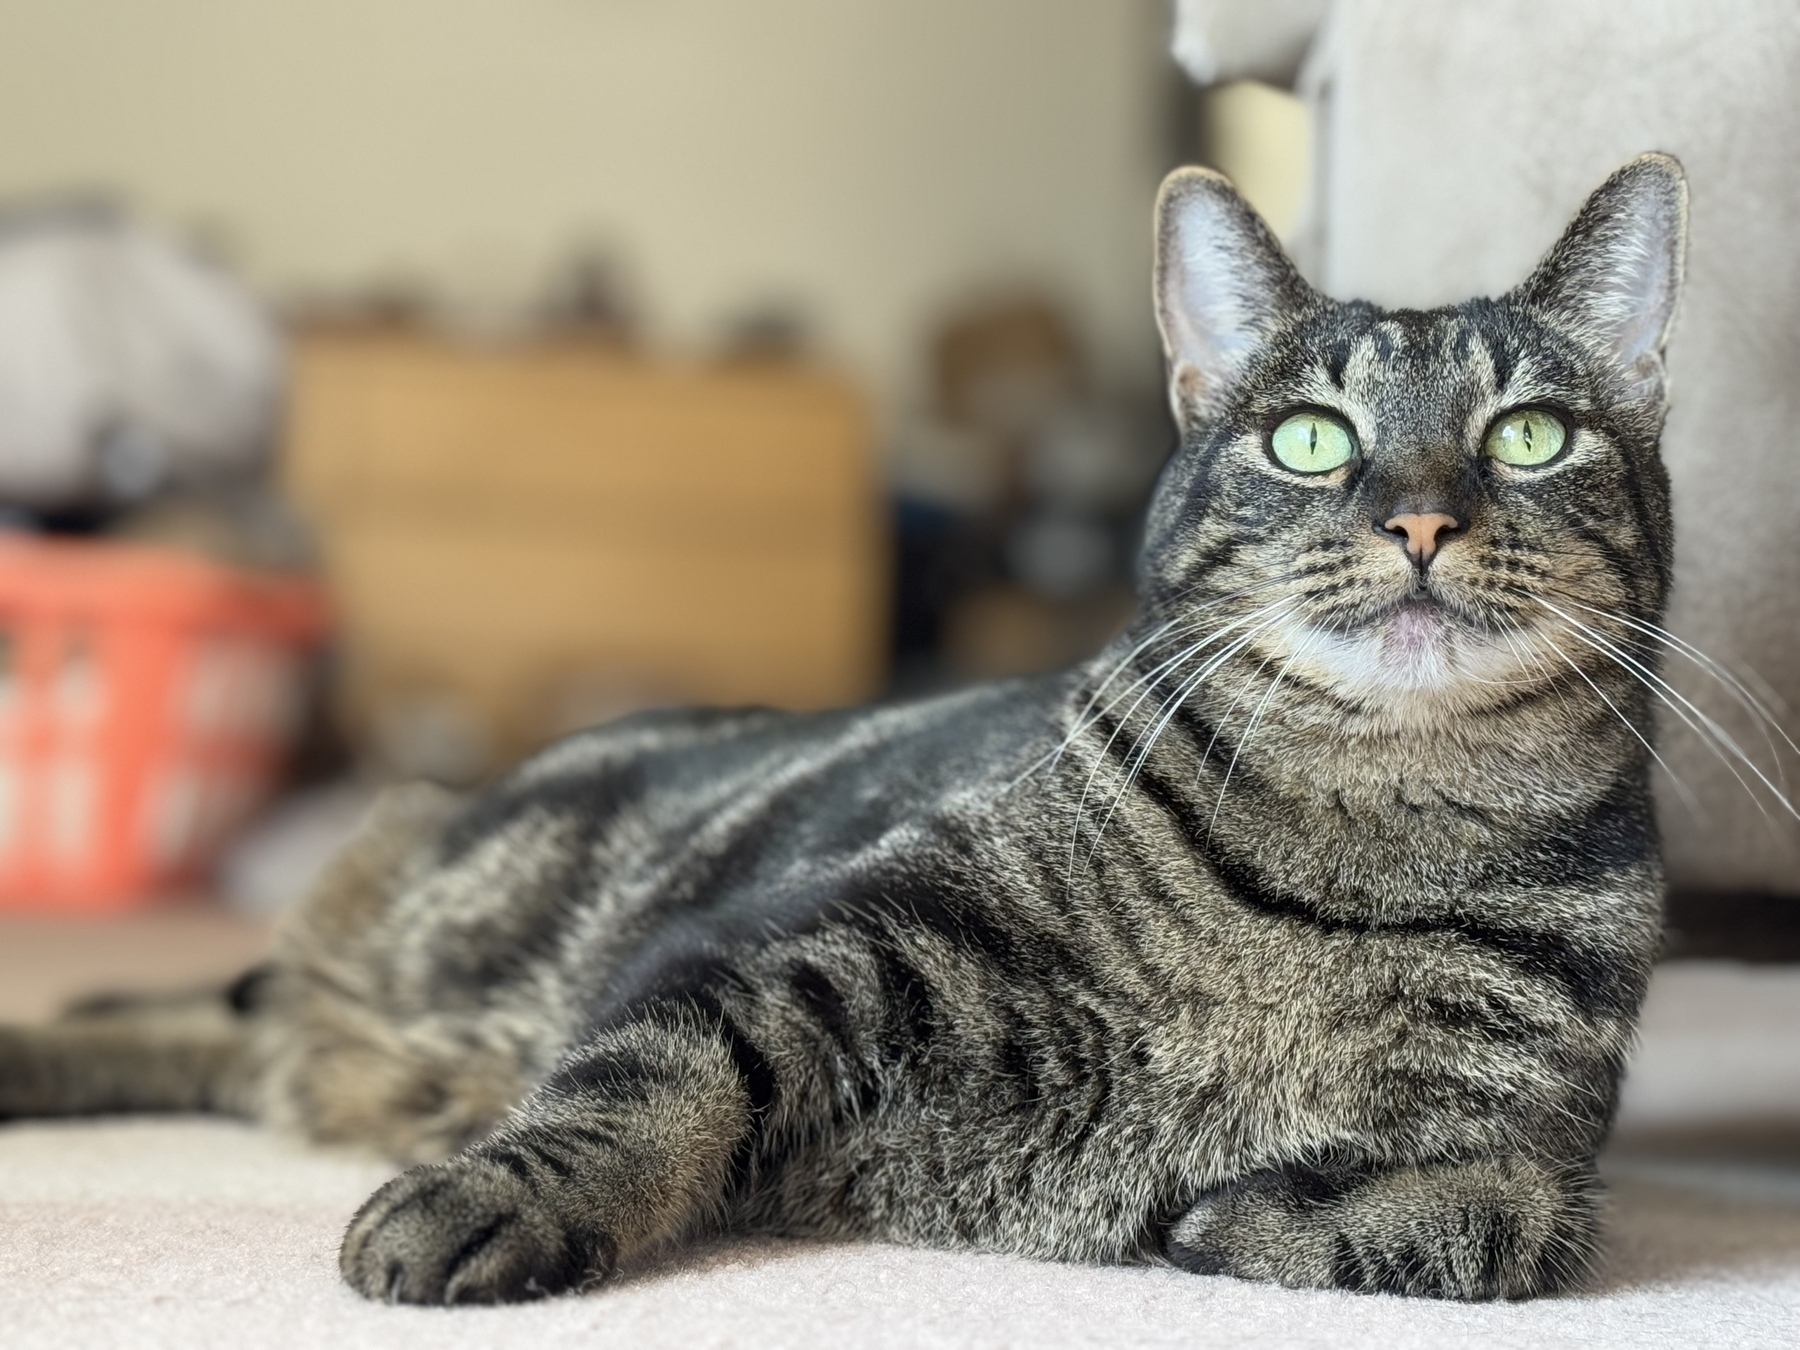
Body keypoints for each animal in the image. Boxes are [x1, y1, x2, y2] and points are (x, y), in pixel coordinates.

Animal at [0, 153, 1684, 1303]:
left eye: (1532, 435)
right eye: (1314, 438)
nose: (1420, 515)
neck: (1361, 841)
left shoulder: (1547, 1140)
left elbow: (1506, 1209)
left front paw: (1248, 1212)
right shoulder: (794, 947)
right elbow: (647, 1079)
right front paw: (488, 1200)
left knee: (209, 1033)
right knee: (207, 1008)